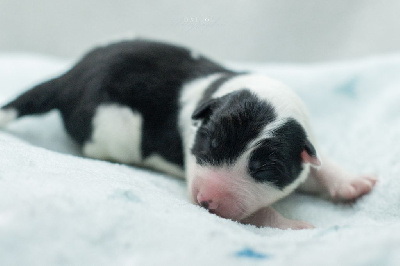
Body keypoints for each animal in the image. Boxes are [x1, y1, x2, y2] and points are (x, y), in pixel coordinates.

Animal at [0, 39, 376, 229]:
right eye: (211, 143)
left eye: (265, 169)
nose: (206, 201)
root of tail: (69, 76)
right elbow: (254, 213)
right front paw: (292, 225)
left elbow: (317, 164)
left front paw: (351, 182)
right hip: (109, 129)